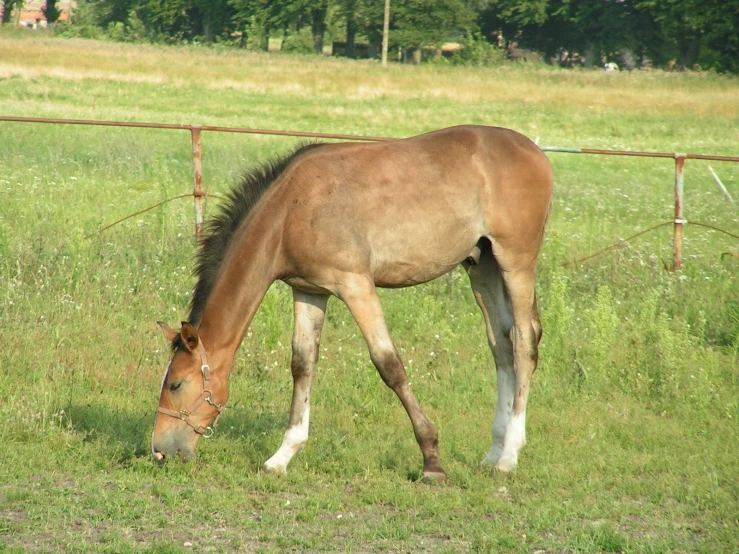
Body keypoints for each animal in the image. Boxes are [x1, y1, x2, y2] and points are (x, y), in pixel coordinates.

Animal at [152, 125, 556, 478]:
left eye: (176, 385)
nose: (159, 451)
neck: (292, 210)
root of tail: (535, 152)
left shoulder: (355, 284)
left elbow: (389, 365)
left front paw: (432, 461)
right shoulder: (309, 290)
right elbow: (303, 364)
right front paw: (282, 456)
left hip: (516, 262)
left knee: (523, 343)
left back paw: (508, 458)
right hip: (482, 266)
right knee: (501, 346)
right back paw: (492, 453)